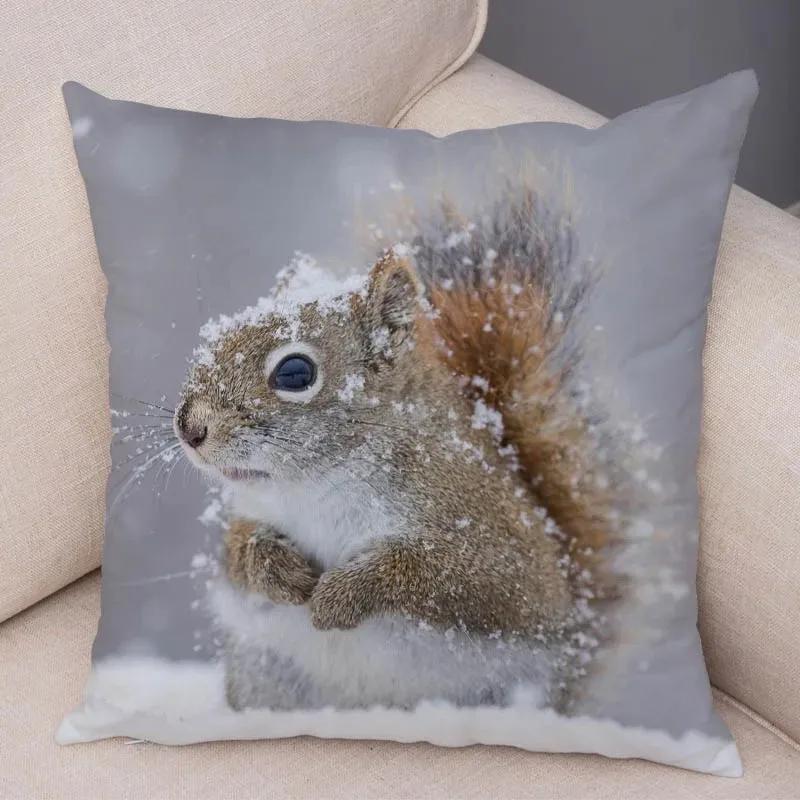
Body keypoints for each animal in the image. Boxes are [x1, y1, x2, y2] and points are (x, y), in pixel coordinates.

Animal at [176, 186, 627, 712]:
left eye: (295, 373)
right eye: (216, 339)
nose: (189, 427)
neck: (318, 481)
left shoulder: (492, 537)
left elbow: (457, 576)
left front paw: (339, 596)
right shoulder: (253, 513)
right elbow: (238, 550)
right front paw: (276, 570)